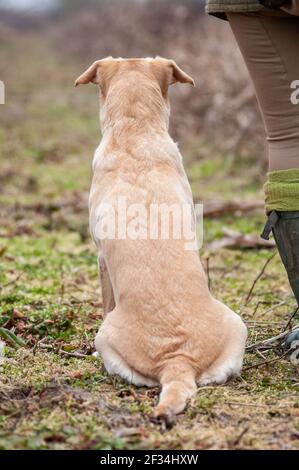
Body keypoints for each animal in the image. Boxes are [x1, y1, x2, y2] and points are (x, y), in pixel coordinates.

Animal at [75, 57, 248, 424]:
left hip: (105, 336)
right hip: (236, 324)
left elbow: (105, 299)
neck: (135, 131)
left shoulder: (100, 259)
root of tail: (177, 360)